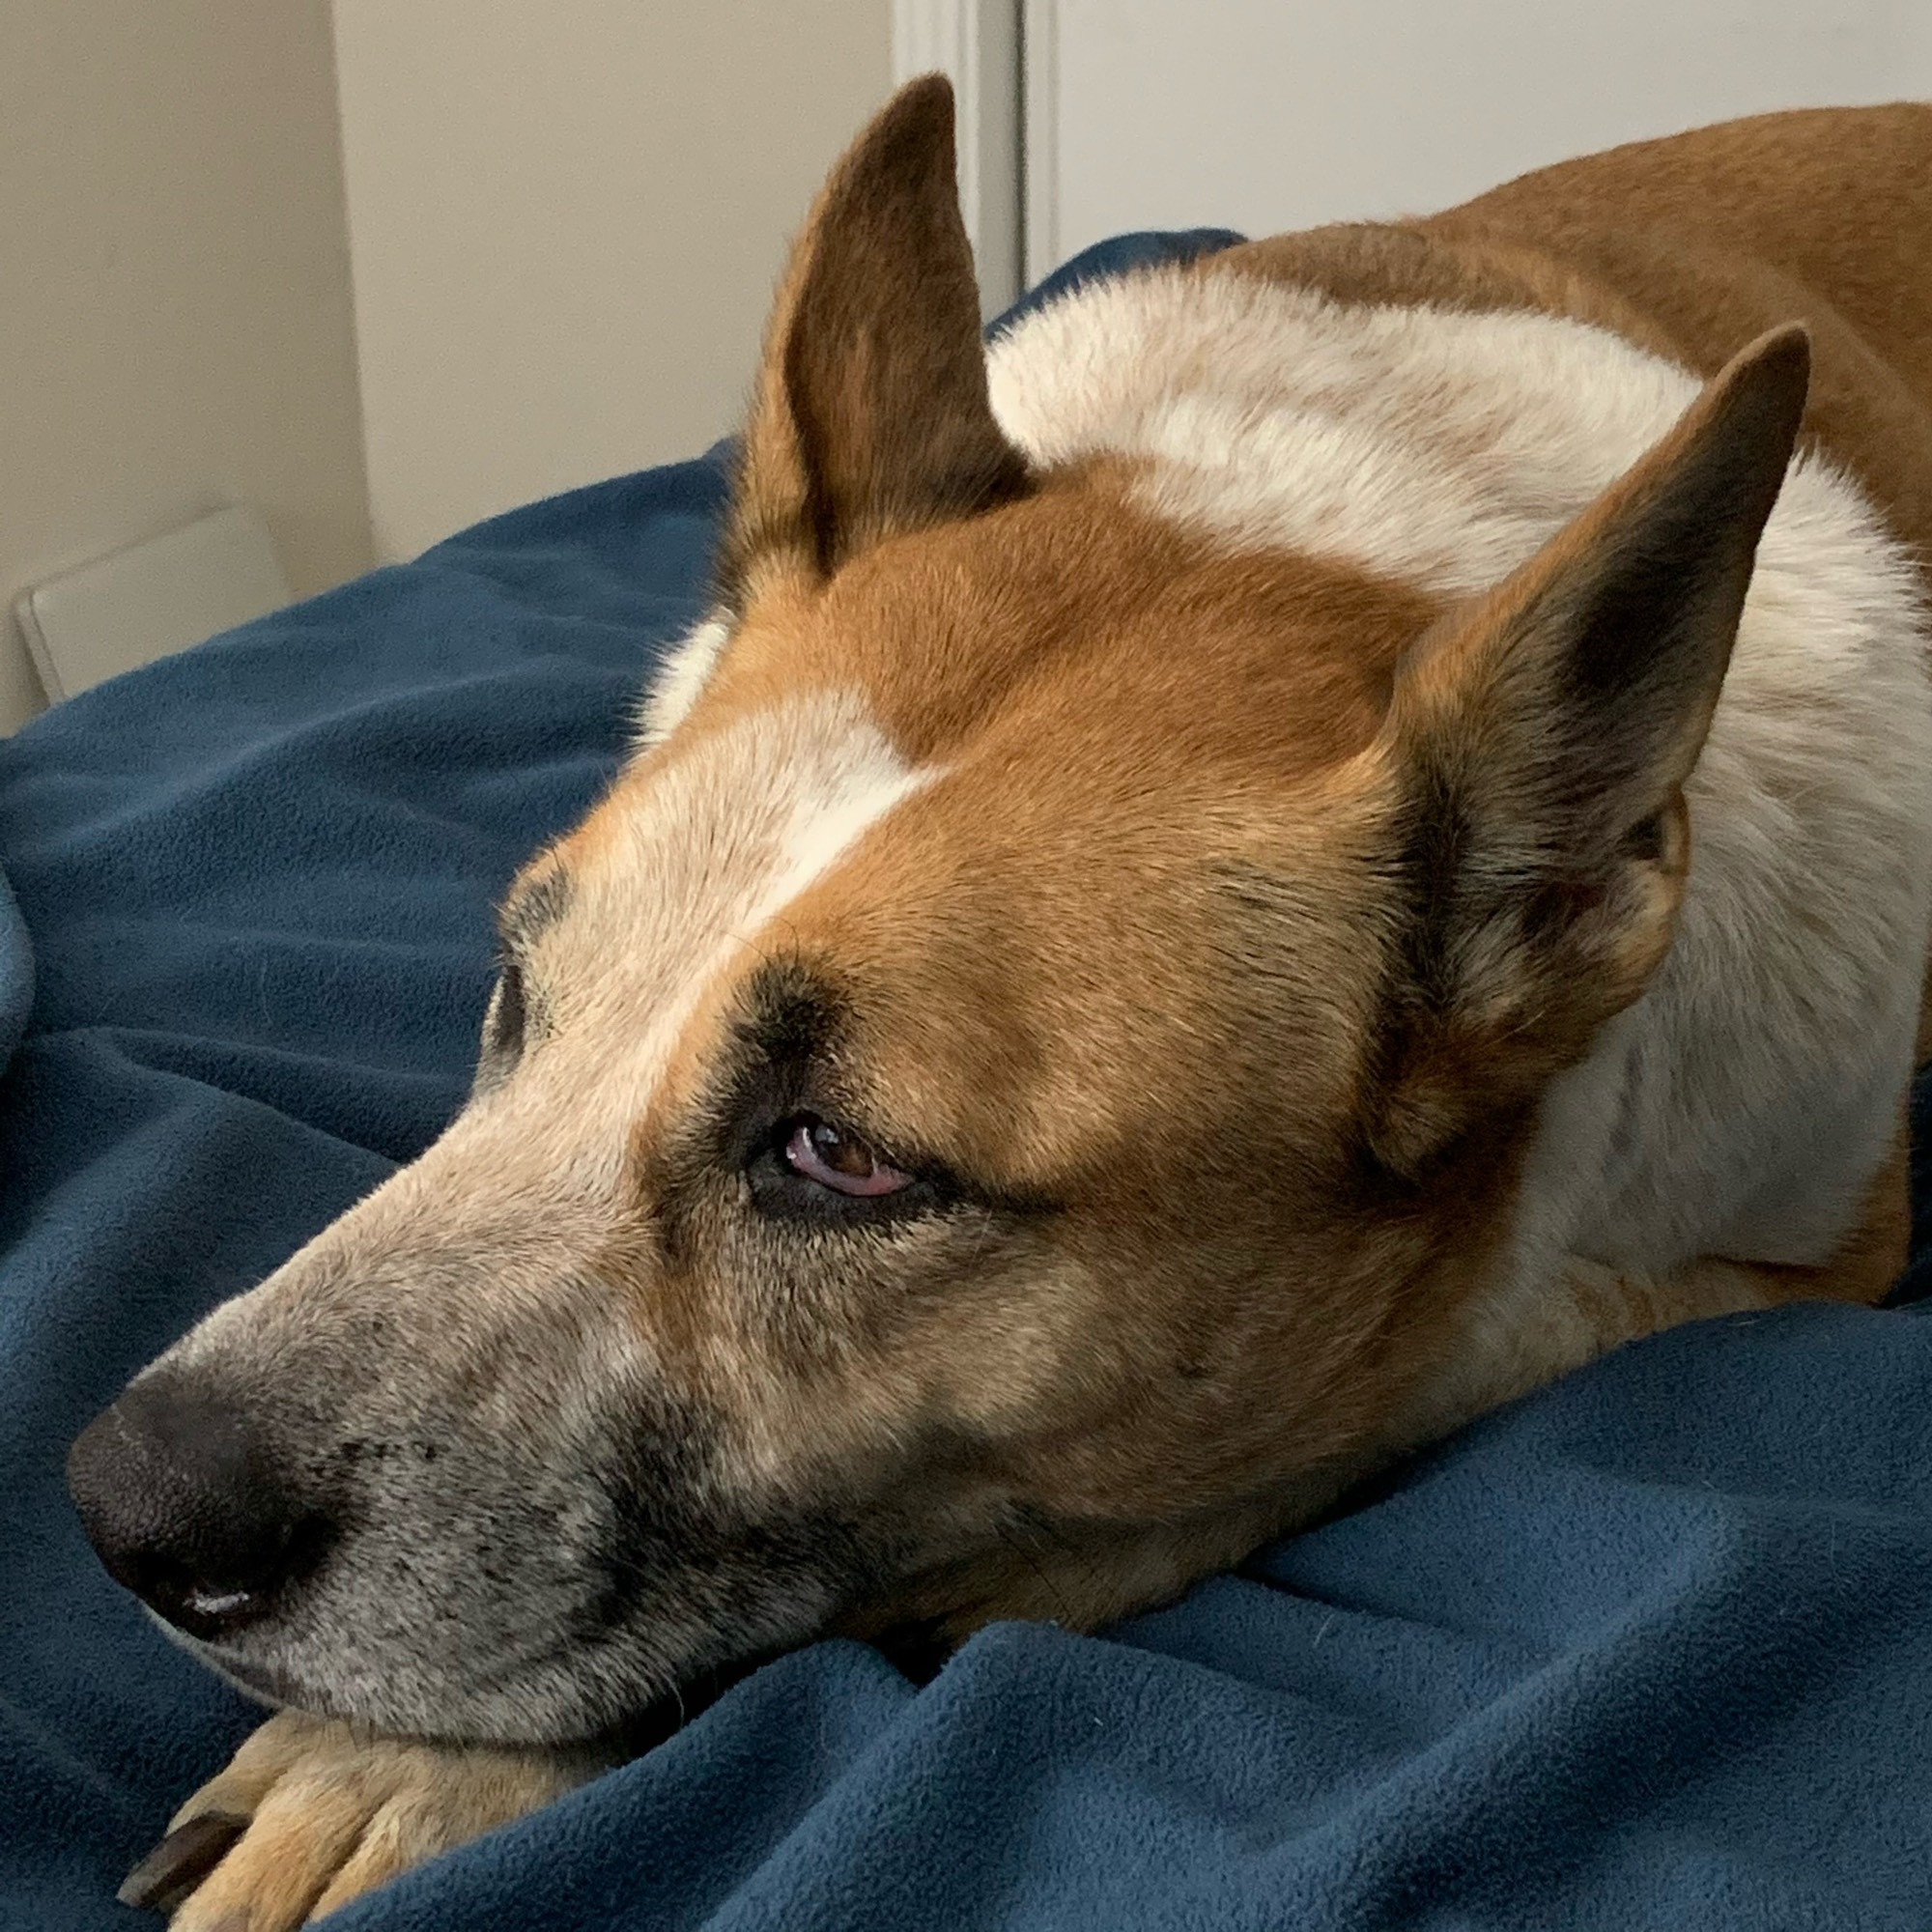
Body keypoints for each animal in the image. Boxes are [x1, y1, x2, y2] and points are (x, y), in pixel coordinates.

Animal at [64, 79, 1932, 1932]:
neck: (1332, 535)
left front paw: (393, 1767)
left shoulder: (1778, 1258)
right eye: (521, 992)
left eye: (845, 1159)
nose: (119, 1507)